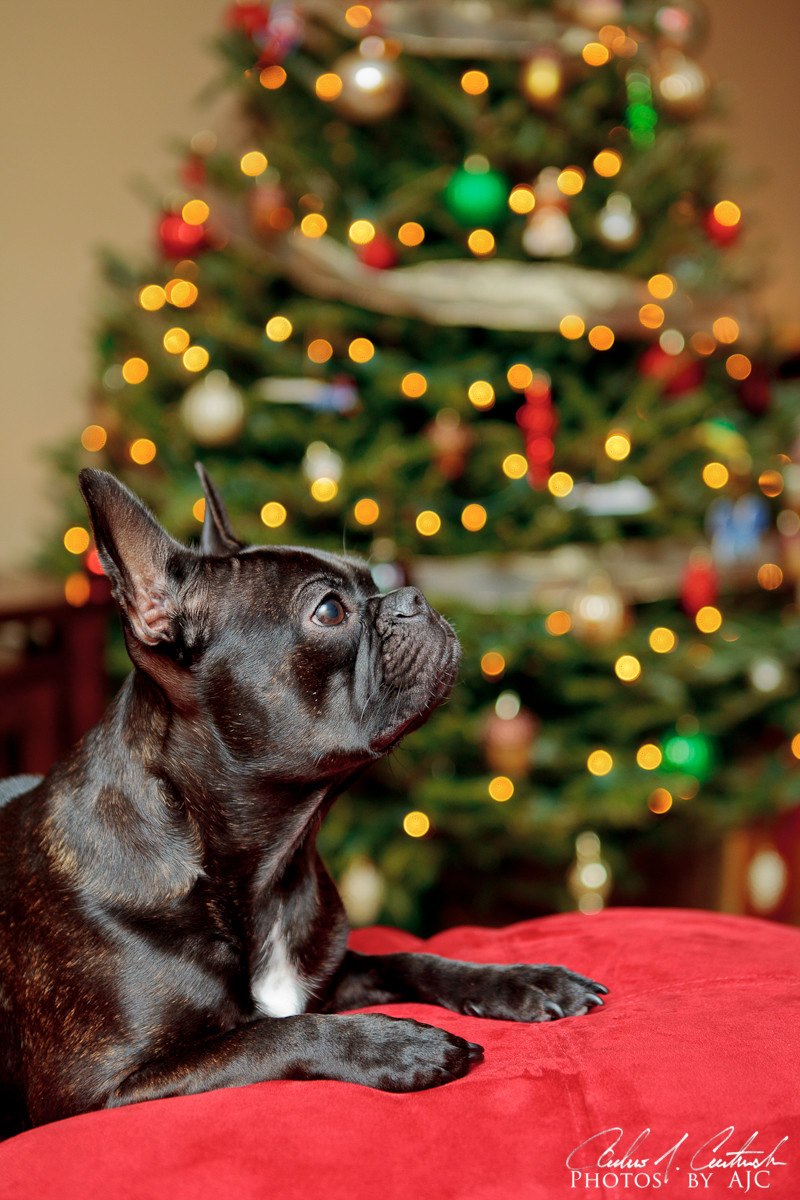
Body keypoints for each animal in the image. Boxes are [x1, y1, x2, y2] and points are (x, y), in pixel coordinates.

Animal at [0, 465, 606, 1132]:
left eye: (374, 582)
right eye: (330, 610)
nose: (413, 597)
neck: (269, 867)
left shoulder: (336, 973)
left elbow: (408, 960)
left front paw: (523, 981)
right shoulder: (96, 1091)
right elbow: (268, 1033)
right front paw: (397, 1044)